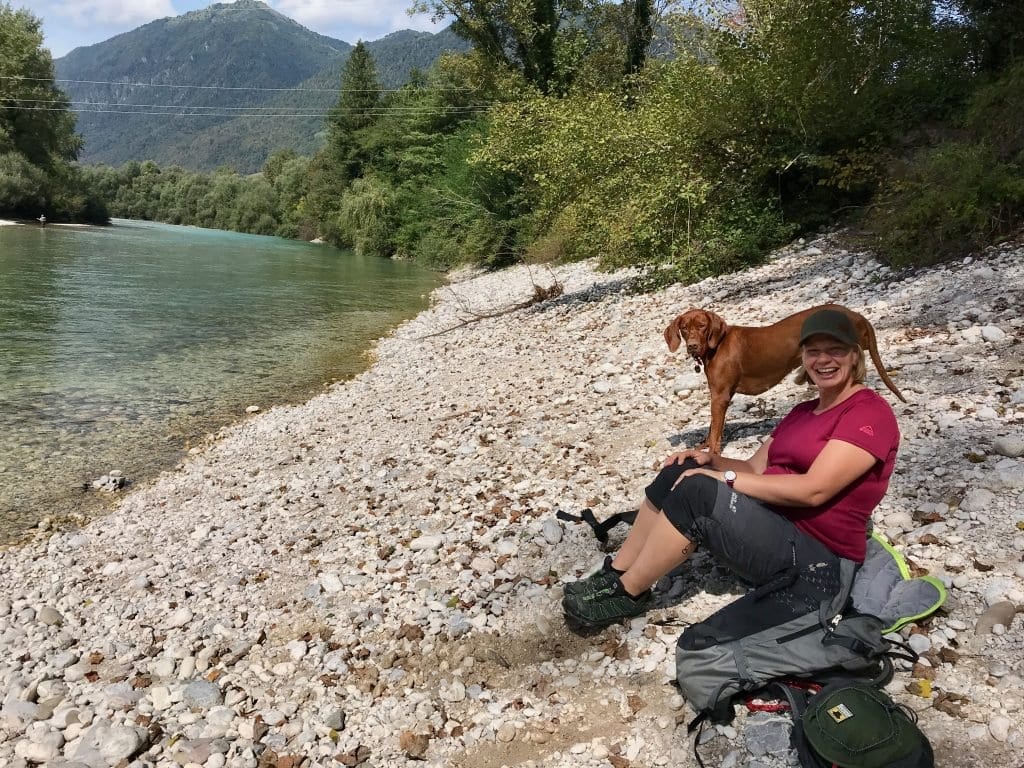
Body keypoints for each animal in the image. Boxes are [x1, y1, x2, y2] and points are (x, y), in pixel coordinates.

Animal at [663, 303, 905, 454]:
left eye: (702, 326)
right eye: (684, 328)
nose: (692, 346)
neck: (717, 344)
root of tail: (855, 314)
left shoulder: (720, 396)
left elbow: (715, 432)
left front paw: (711, 454)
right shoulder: (718, 396)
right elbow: (714, 427)